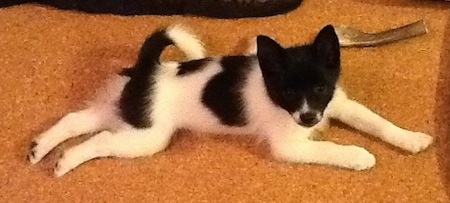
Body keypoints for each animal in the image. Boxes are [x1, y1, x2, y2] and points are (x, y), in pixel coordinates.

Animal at [27, 23, 432, 177]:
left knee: (75, 121)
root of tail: (148, 69)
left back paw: (40, 149)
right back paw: (64, 161)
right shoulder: (291, 145)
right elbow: (330, 149)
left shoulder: (338, 104)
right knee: (99, 140)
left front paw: (412, 139)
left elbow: (377, 121)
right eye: (288, 92)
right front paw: (359, 156)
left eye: (319, 88)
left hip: (122, 110)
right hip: (146, 137)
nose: (308, 118)